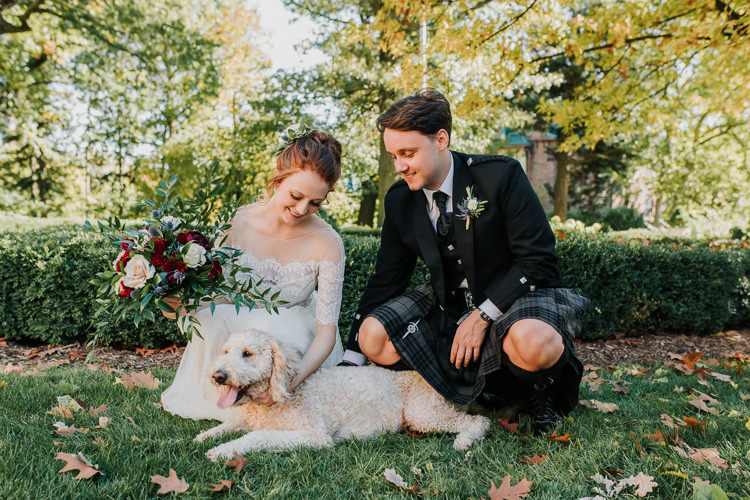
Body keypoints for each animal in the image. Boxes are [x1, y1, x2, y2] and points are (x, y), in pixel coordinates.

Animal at [194, 328, 494, 460]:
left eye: (247, 354)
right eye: (225, 351)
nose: (218, 376)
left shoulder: (315, 435)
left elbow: (258, 436)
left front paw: (222, 450)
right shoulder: (246, 418)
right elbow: (228, 424)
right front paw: (203, 437)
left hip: (423, 414)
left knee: (479, 422)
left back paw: (465, 440)